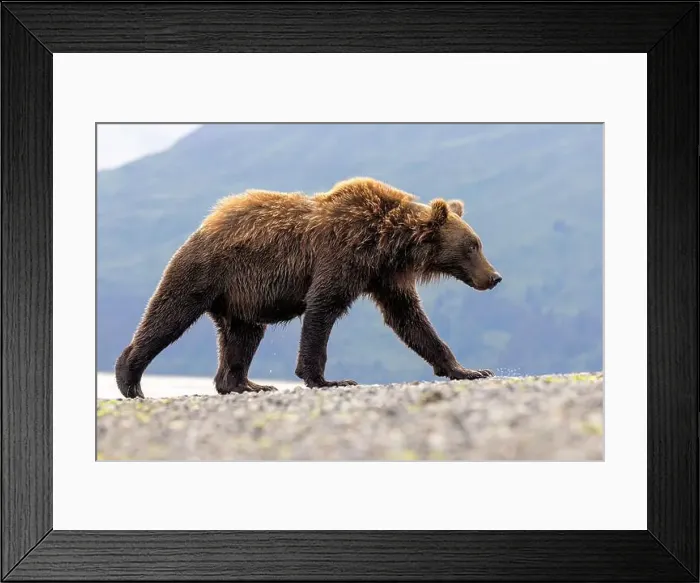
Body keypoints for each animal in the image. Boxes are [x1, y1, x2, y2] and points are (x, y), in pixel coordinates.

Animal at [115, 177, 502, 399]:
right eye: (473, 246)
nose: (494, 276)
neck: (386, 243)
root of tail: (206, 224)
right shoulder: (341, 256)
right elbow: (322, 308)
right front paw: (328, 379)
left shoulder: (384, 276)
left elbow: (409, 320)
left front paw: (468, 370)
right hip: (205, 271)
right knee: (169, 315)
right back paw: (130, 378)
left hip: (242, 298)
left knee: (243, 335)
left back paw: (246, 383)